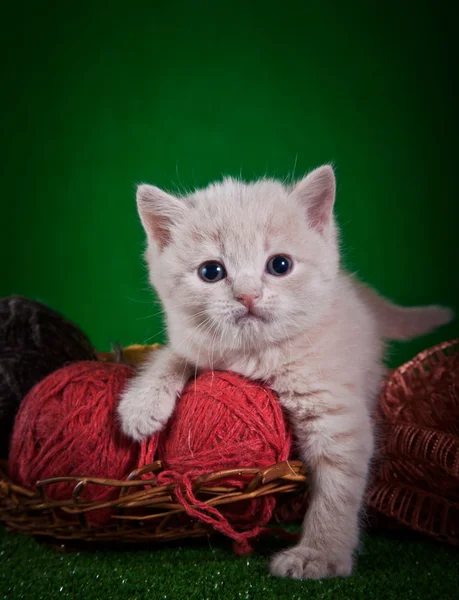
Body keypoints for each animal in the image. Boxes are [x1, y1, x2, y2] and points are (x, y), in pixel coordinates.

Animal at [117, 166, 452, 580]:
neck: (256, 356)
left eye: (280, 265)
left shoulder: (335, 416)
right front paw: (140, 406)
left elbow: (336, 490)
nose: (247, 295)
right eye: (211, 271)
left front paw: (319, 554)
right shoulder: (197, 346)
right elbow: (172, 357)